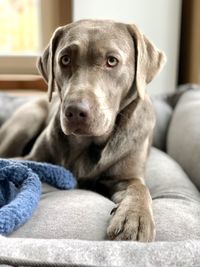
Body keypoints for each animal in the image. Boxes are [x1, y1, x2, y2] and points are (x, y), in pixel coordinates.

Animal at [0, 19, 166, 243]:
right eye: (65, 59)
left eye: (112, 61)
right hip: (27, 120)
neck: (88, 144)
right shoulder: (33, 159)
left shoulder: (126, 175)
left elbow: (139, 188)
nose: (75, 111)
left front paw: (134, 218)